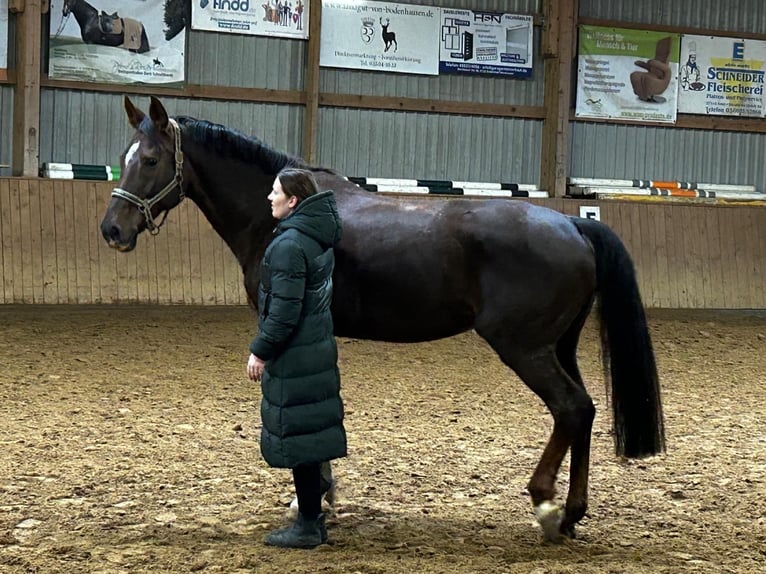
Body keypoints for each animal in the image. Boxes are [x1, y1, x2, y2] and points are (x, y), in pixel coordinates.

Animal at [100, 96, 665, 542]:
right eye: (123, 158)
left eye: (150, 159)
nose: (112, 229)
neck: (283, 216)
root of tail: (572, 223)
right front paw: (322, 494)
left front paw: (310, 496)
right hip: (559, 346)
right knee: (585, 411)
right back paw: (572, 514)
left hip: (524, 348)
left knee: (570, 408)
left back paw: (546, 504)